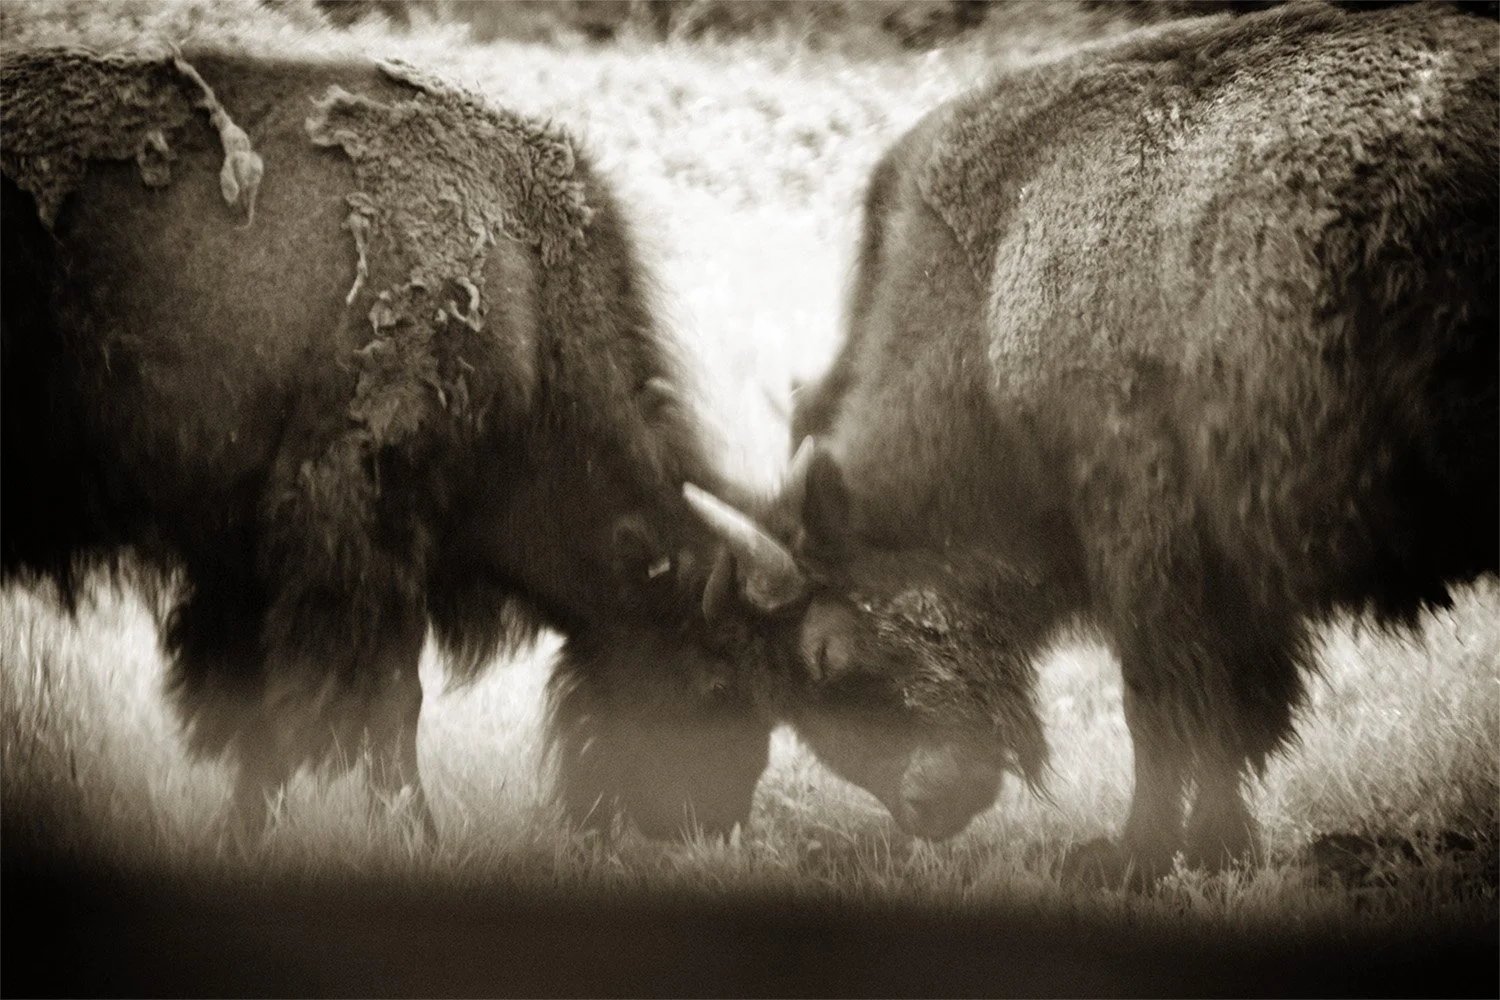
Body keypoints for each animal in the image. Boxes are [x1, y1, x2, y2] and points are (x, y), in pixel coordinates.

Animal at [1, 46, 793, 846]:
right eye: (716, 676)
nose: (711, 821)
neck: (524, 300)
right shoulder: (361, 532)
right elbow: (385, 701)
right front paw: (421, 835)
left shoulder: (256, 561)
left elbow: (267, 711)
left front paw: (244, 830)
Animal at [701, 3, 1498, 877]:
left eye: (825, 653)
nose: (925, 807)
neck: (990, 290)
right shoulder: (1236, 583)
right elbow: (1239, 717)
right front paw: (1219, 850)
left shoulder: (1145, 540)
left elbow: (1163, 707)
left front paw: (1131, 856)